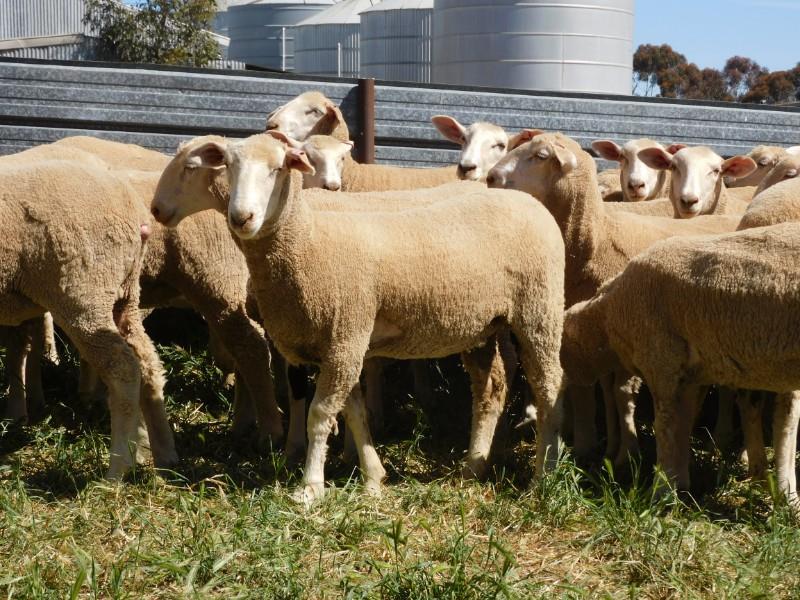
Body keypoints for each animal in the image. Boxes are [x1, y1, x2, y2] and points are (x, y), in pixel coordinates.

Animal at [0, 157, 177, 478]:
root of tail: (134, 209)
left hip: (84, 291)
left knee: (123, 369)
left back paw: (117, 469)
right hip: (124, 293)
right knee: (147, 362)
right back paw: (163, 453)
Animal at [151, 133, 567, 503]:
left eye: (276, 169)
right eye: (229, 167)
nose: (242, 218)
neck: (308, 241)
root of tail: (526, 200)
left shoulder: (345, 334)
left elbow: (320, 413)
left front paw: (310, 487)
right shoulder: (339, 343)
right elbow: (353, 411)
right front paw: (372, 477)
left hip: (538, 308)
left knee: (548, 384)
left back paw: (543, 476)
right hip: (481, 324)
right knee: (491, 388)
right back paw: (473, 466)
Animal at [487, 132, 742, 466]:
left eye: (540, 156)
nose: (490, 177)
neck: (596, 242)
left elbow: (621, 392)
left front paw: (625, 452)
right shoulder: (584, 329)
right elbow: (590, 388)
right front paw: (590, 445)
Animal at [561, 223, 800, 503]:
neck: (609, 315)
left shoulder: (661, 360)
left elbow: (665, 427)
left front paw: (661, 491)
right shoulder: (688, 373)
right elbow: (684, 422)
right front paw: (680, 482)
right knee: (786, 420)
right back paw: (786, 497)